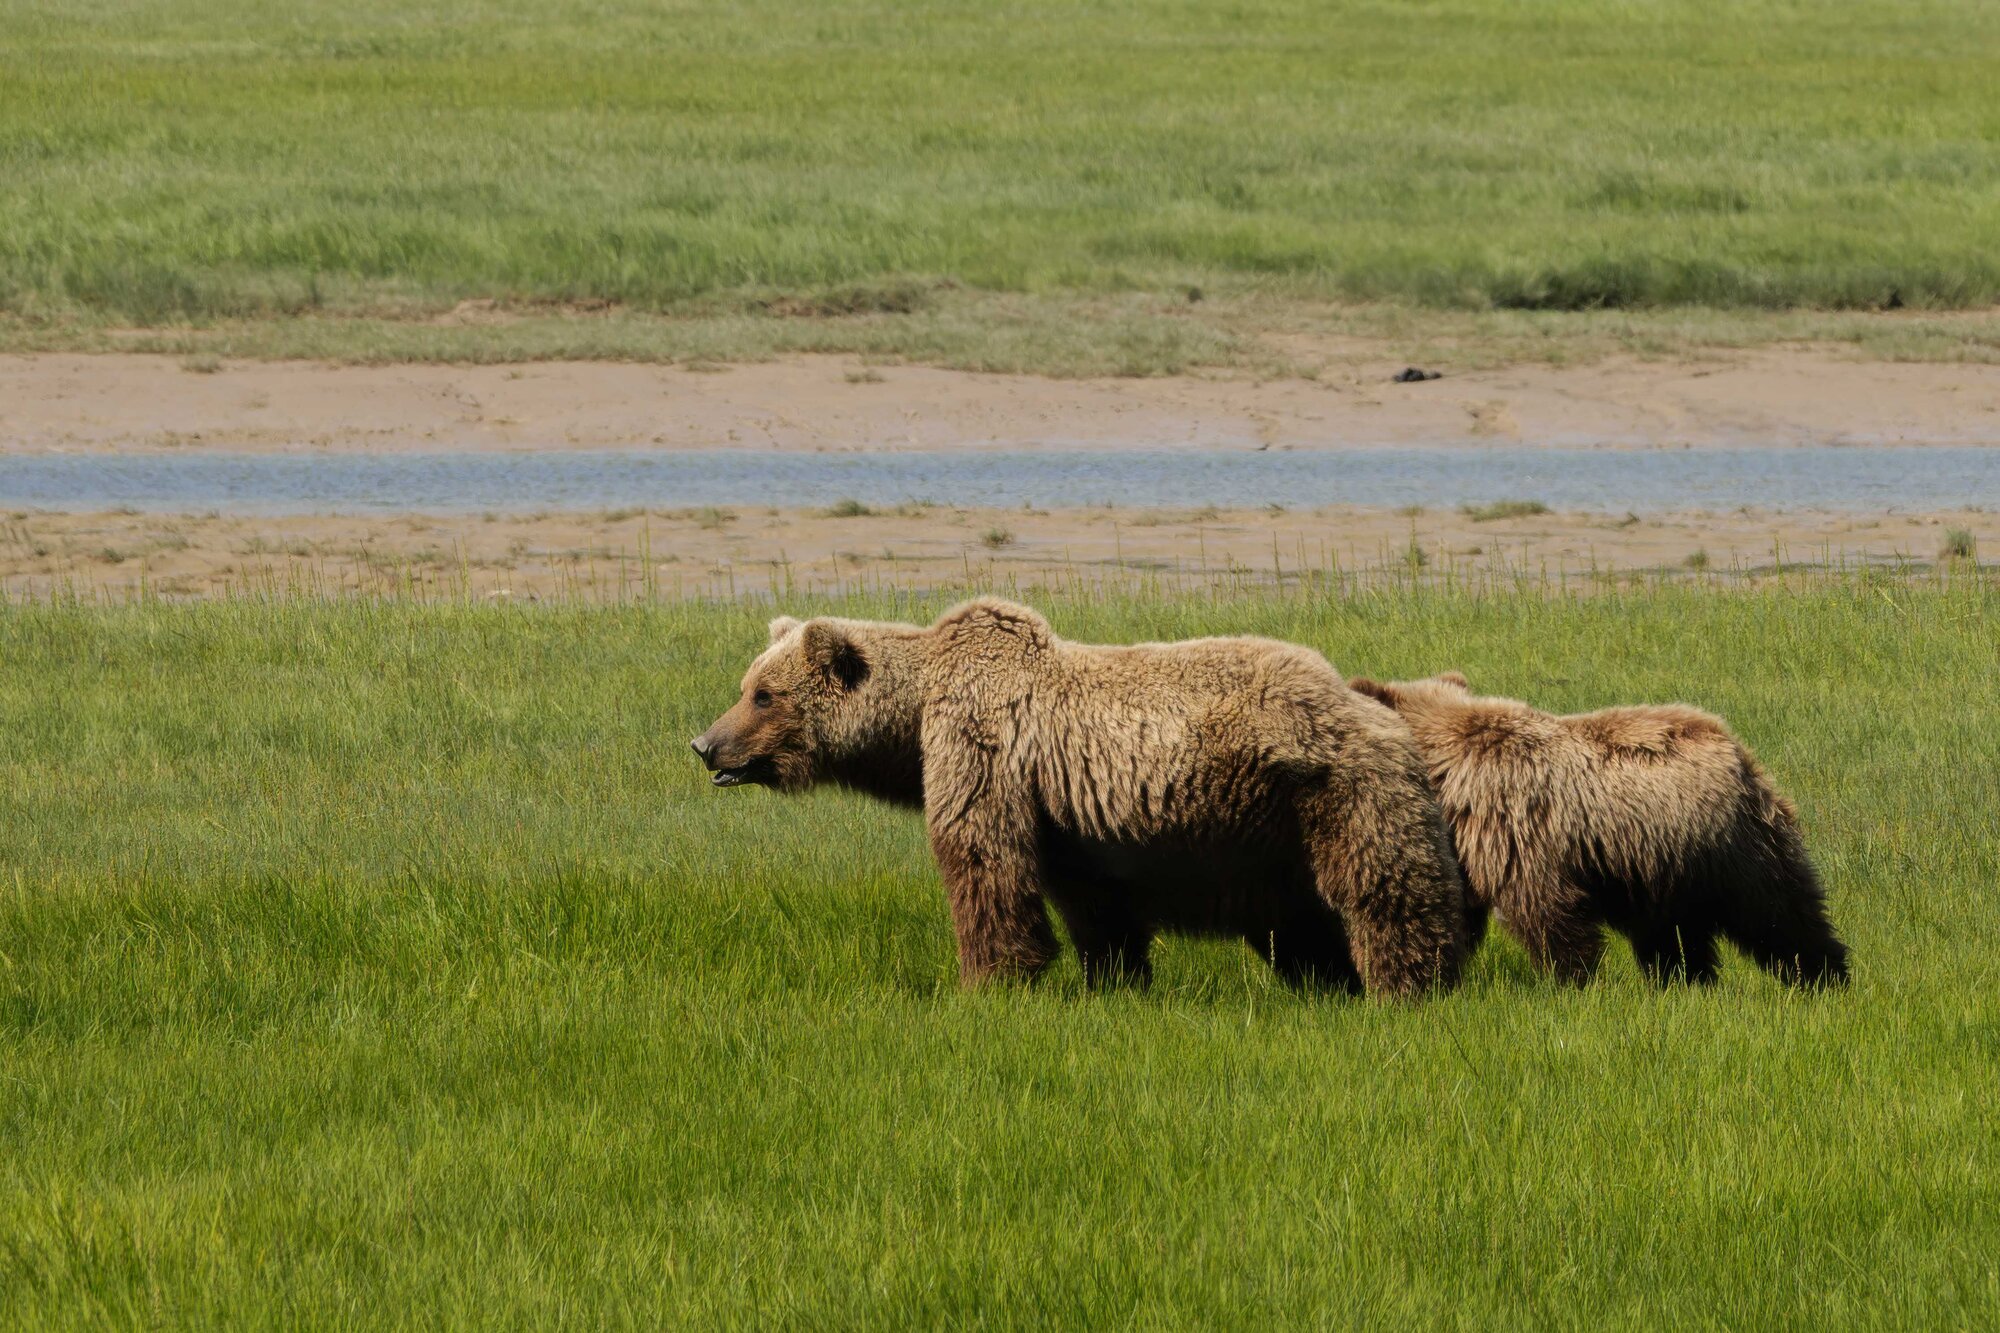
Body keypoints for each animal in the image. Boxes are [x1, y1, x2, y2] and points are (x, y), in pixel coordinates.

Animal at [691, 598, 1469, 998]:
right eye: (747, 683)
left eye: (764, 694)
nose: (706, 745)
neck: (912, 722)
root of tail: (1378, 709)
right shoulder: (1070, 820)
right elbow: (1095, 906)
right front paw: (1114, 981)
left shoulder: (982, 748)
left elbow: (983, 861)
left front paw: (988, 981)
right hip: (1276, 838)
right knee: (1303, 924)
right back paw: (1331, 985)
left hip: (1329, 791)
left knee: (1385, 892)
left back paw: (1409, 986)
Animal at [1344, 672, 1848, 988]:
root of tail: (1739, 749)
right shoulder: (1466, 844)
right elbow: (1459, 906)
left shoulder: (1516, 828)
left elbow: (1547, 910)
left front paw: (1574, 980)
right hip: (1662, 865)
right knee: (1676, 935)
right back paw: (1685, 982)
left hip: (1729, 843)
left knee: (1778, 911)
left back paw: (1825, 974)